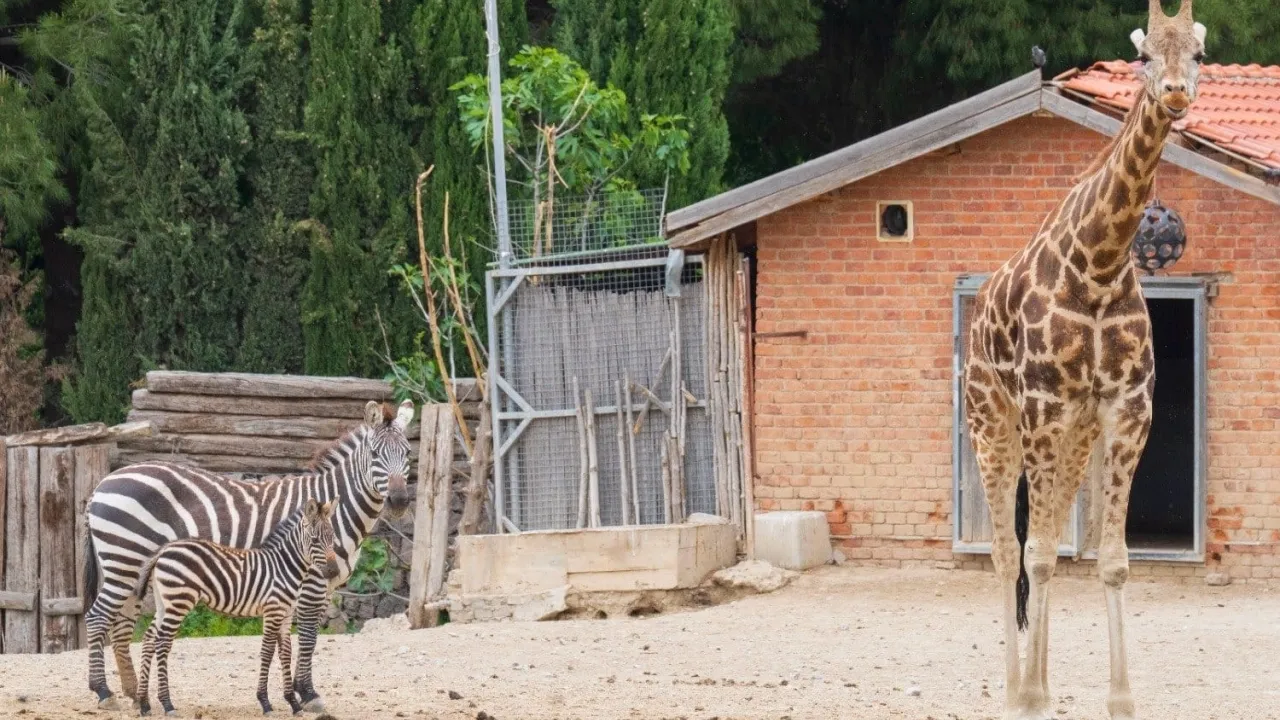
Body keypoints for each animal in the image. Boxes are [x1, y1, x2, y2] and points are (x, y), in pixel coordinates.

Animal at [135, 499, 338, 717]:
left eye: (332, 537)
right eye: (315, 539)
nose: (334, 571)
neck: (284, 567)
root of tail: (163, 551)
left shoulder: (285, 614)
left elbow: (285, 653)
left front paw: (293, 703)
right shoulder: (273, 611)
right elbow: (267, 651)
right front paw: (265, 702)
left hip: (164, 602)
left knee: (150, 638)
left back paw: (144, 704)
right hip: (179, 600)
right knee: (162, 642)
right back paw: (167, 704)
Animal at [962, 2, 1205, 719]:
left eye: (1198, 55)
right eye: (1144, 56)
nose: (1175, 93)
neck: (1098, 263)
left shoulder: (1127, 408)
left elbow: (1111, 559)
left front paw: (1119, 698)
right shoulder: (1044, 405)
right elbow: (1038, 553)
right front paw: (1031, 696)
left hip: (1073, 439)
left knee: (1038, 539)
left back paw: (1036, 679)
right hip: (994, 425)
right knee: (1008, 550)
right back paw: (1014, 687)